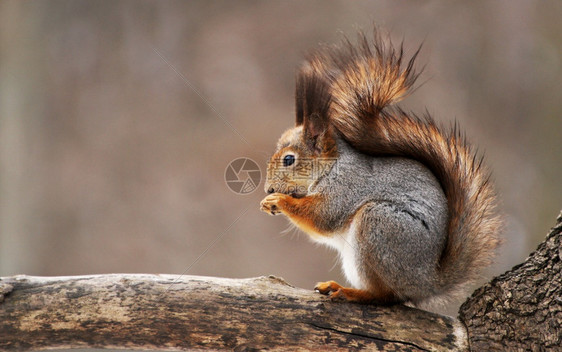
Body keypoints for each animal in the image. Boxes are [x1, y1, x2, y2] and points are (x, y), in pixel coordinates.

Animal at [260, 29, 500, 306]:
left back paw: (349, 292)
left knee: (385, 295)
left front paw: (278, 201)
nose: (268, 189)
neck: (332, 168)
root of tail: (426, 282)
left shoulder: (346, 188)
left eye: (289, 159)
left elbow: (322, 217)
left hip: (379, 225)